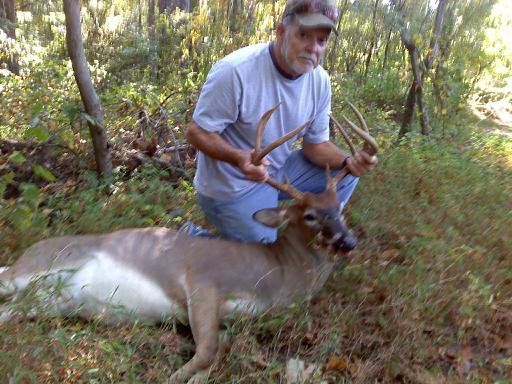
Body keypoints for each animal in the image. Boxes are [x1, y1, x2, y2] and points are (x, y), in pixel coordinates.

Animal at [0, 103, 376, 382]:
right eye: (310, 215)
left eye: (339, 208)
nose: (348, 241)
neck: (276, 272)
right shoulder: (202, 279)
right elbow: (207, 351)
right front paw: (174, 378)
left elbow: (218, 350)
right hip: (39, 267)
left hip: (45, 302)